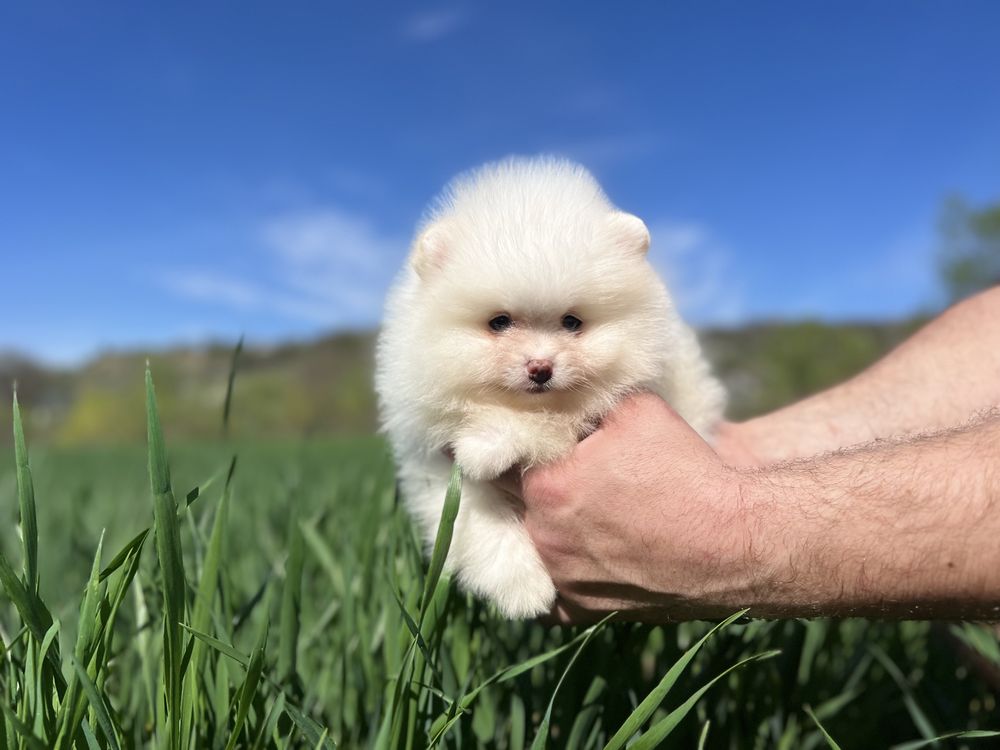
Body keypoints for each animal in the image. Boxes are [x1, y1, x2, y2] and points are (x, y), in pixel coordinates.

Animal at [376, 156, 728, 620]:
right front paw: (524, 591)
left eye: (572, 322)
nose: (540, 367)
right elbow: (478, 520)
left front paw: (488, 445)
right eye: (499, 322)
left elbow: (545, 426)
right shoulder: (432, 465)